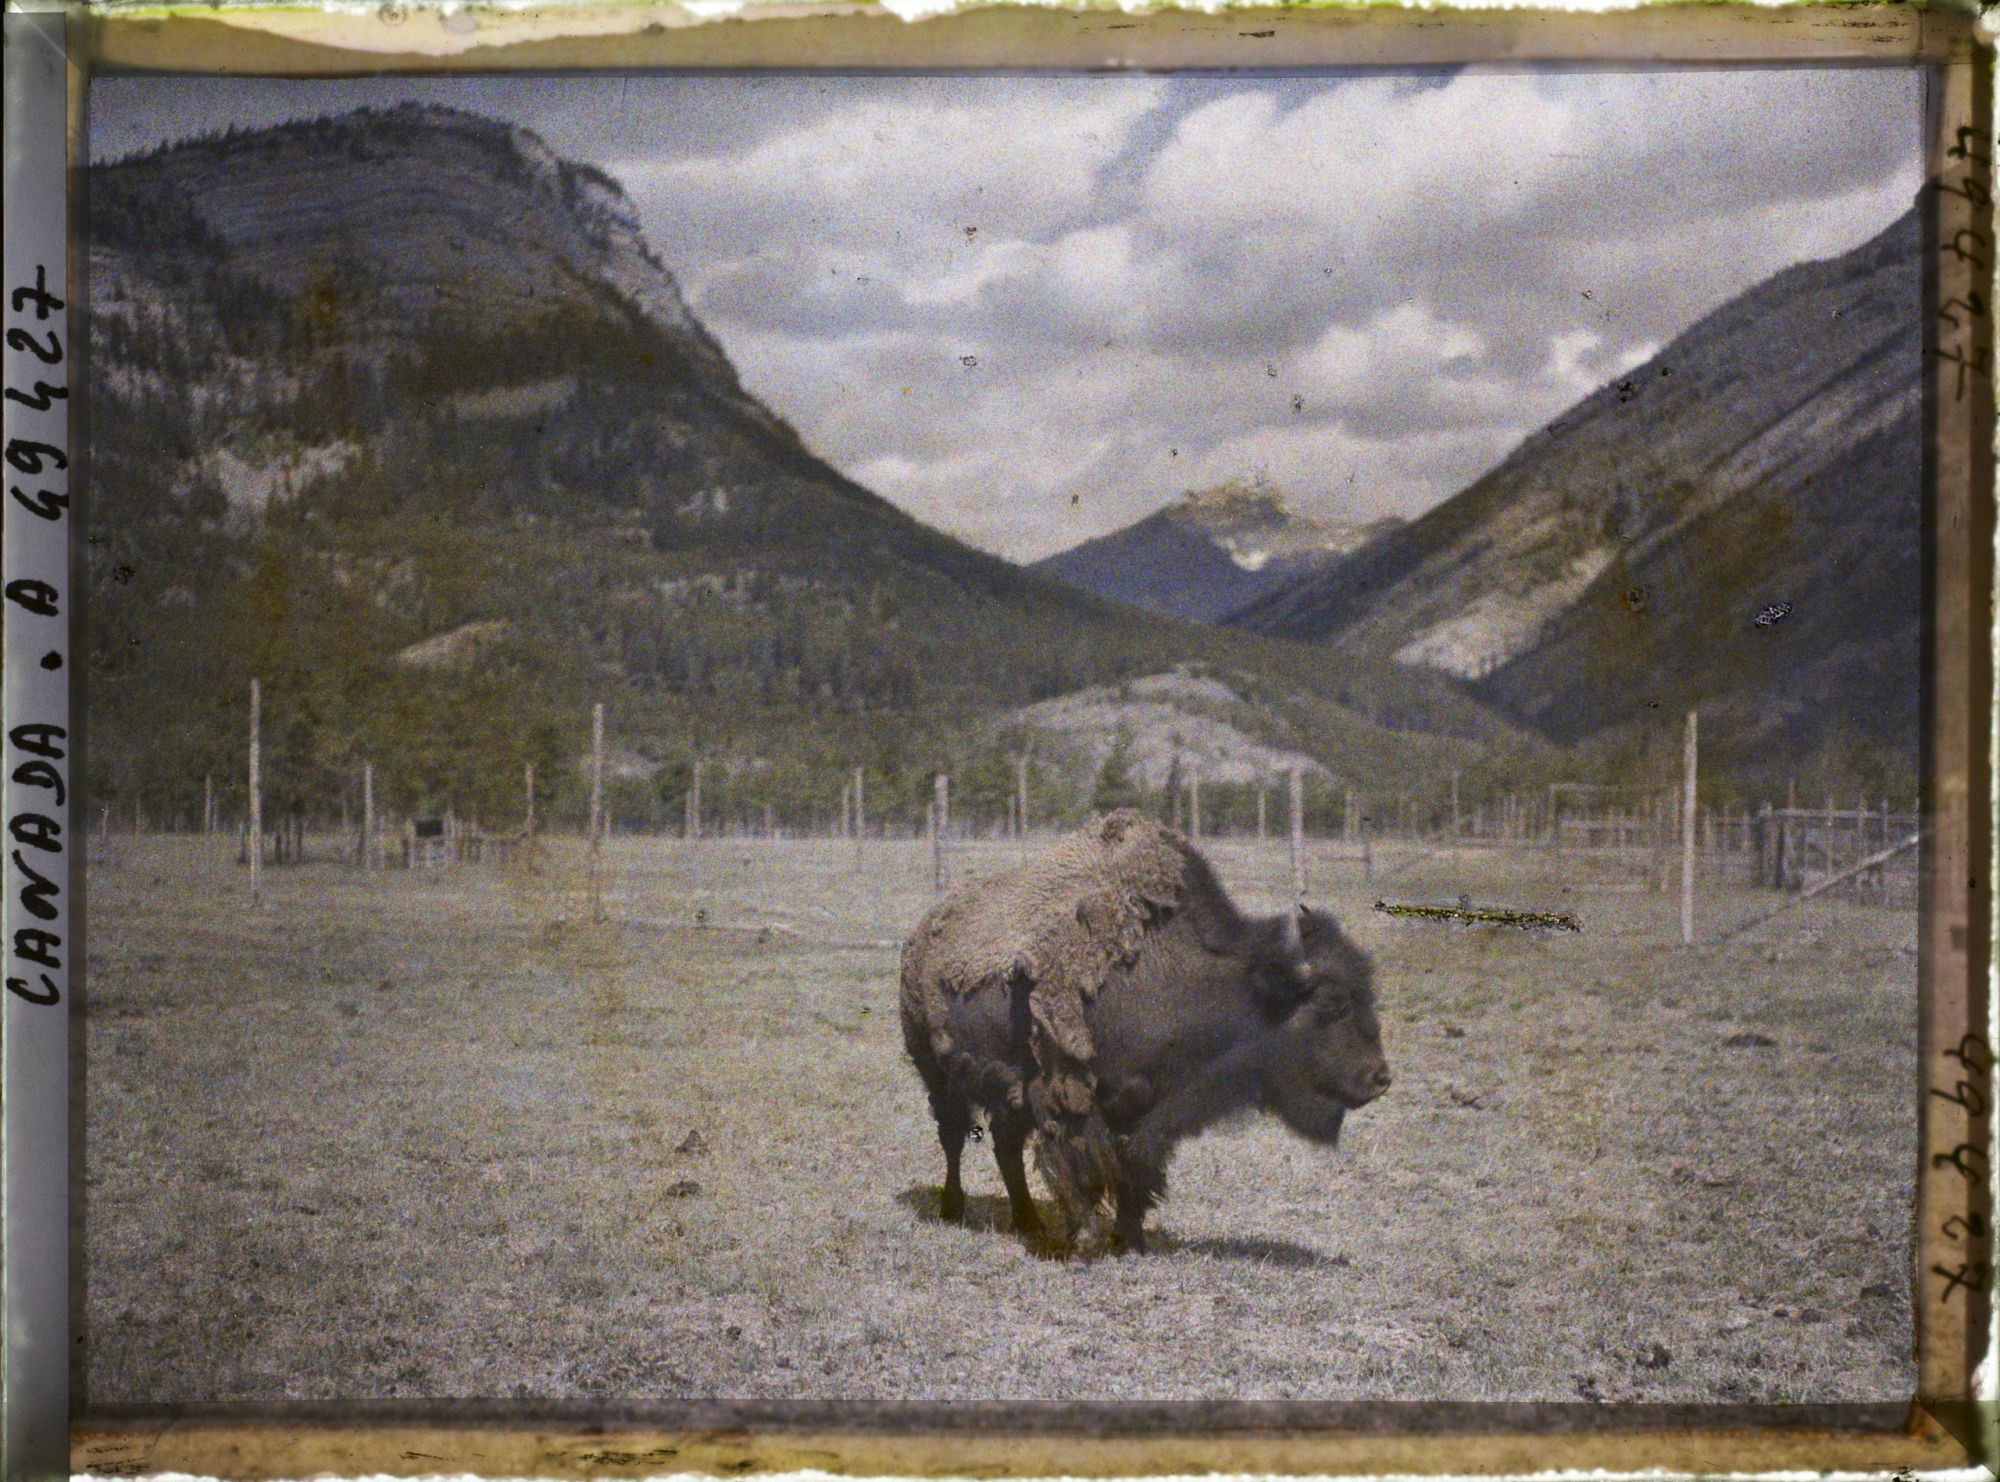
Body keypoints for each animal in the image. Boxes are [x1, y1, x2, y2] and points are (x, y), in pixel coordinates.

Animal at [900, 810, 1389, 1255]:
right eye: (1331, 1004)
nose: (1379, 1077)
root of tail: (924, 930)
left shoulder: (1149, 1105)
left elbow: (1134, 1166)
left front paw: (1130, 1240)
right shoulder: (1066, 1094)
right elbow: (1078, 1161)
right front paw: (1084, 1242)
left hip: (1006, 1088)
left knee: (1005, 1144)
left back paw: (1029, 1222)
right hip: (938, 1074)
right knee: (953, 1138)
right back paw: (953, 1209)